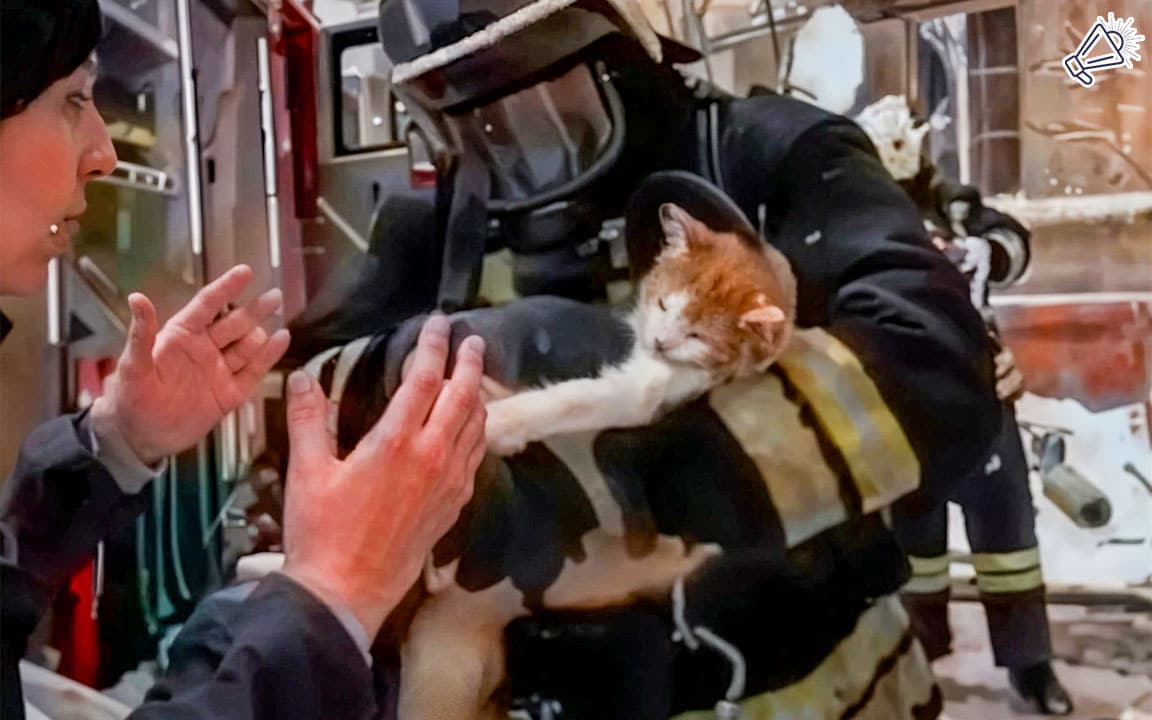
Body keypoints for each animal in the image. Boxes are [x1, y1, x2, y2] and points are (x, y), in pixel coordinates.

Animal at [481, 199, 797, 451]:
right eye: (662, 304)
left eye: (697, 336)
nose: (659, 342)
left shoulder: (655, 392)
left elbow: (575, 401)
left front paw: (495, 422)